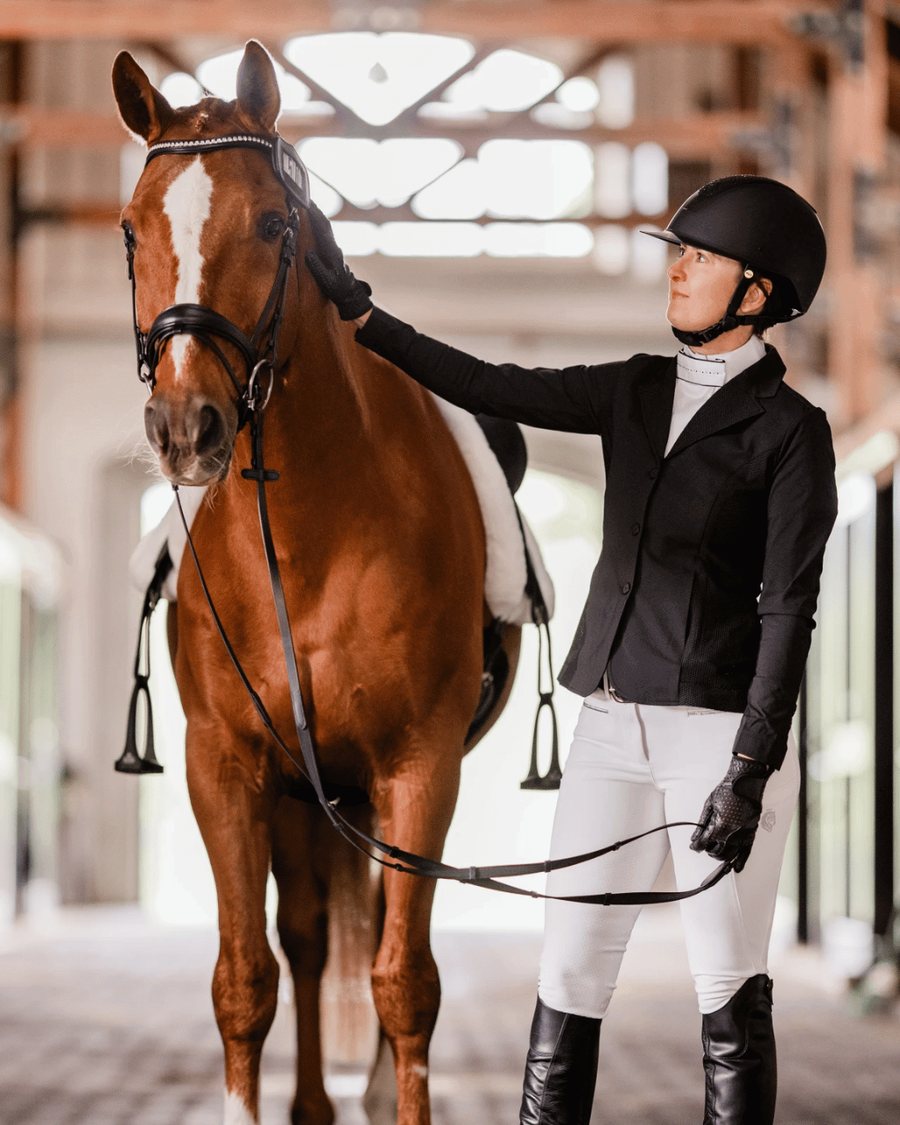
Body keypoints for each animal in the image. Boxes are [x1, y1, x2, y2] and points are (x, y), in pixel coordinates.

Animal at [112, 40, 521, 1125]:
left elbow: (403, 981)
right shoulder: (225, 769)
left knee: (374, 930)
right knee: (300, 937)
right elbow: (244, 980)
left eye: (271, 221)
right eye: (131, 229)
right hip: (303, 794)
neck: (308, 537)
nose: (187, 427)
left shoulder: (419, 767)